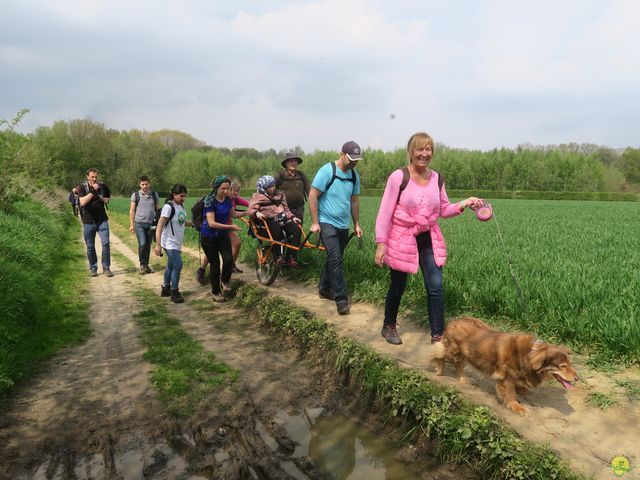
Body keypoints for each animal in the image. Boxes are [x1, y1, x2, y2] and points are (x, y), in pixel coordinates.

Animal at [424, 316, 580, 414]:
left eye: (570, 364)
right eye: (562, 366)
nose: (577, 378)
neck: (528, 355)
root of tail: (452, 321)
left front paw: (521, 389)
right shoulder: (507, 378)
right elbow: (510, 394)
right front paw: (517, 407)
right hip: (456, 352)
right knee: (442, 354)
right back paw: (449, 373)